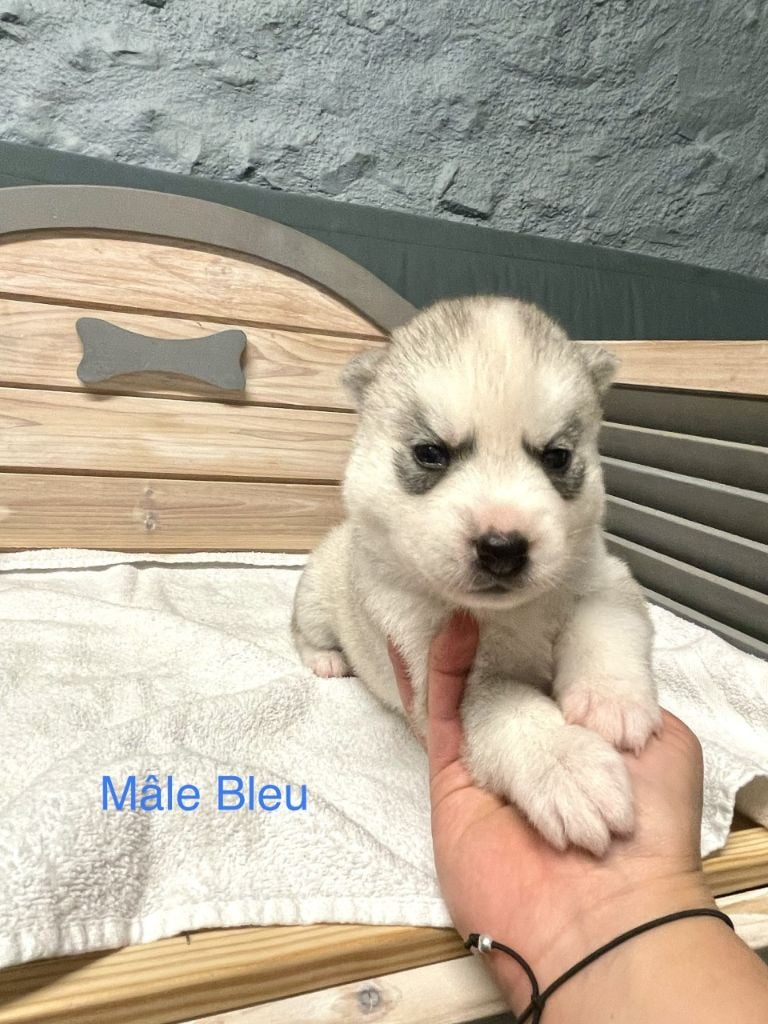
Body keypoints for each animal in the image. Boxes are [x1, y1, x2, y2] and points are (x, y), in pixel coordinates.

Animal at [292, 296, 660, 855]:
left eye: (557, 457)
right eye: (430, 453)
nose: (502, 548)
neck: (508, 614)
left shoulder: (602, 578)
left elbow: (606, 623)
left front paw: (609, 701)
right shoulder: (439, 672)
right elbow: (508, 706)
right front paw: (565, 763)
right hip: (317, 592)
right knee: (304, 632)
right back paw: (328, 659)